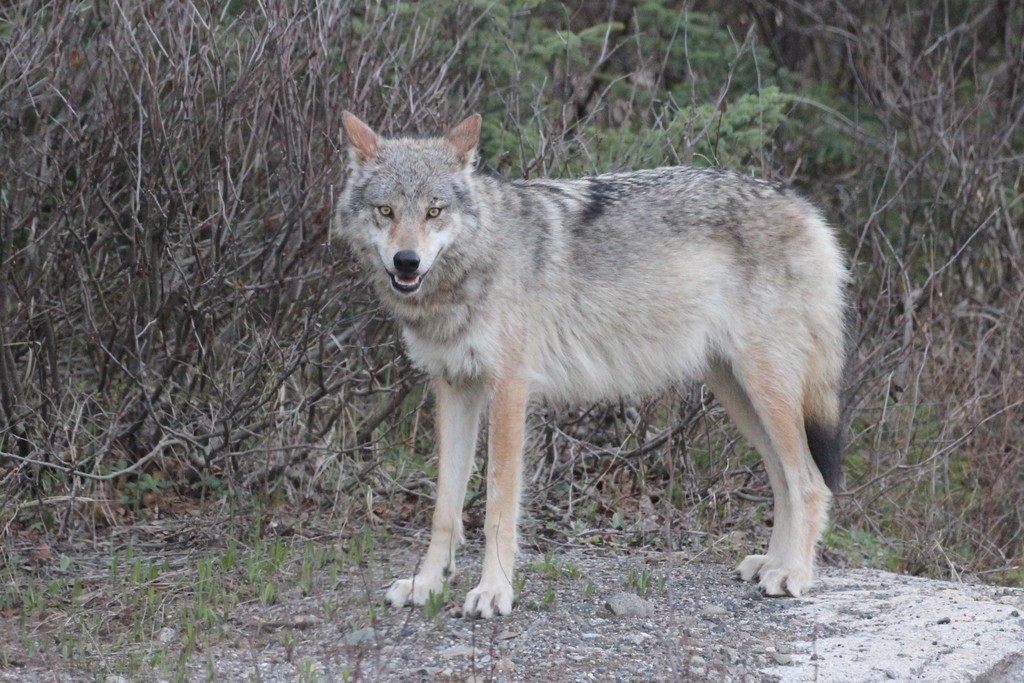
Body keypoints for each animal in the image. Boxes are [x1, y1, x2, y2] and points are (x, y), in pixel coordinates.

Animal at [333, 111, 850, 619]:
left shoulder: (508, 390)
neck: (474, 266)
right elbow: (444, 508)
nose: (406, 261)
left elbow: (498, 505)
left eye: (434, 211)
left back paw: (793, 574)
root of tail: (806, 208)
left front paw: (493, 592)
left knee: (809, 481)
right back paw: (772, 563)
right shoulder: (453, 387)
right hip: (739, 396)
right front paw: (426, 584)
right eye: (386, 211)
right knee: (783, 479)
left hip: (765, 389)